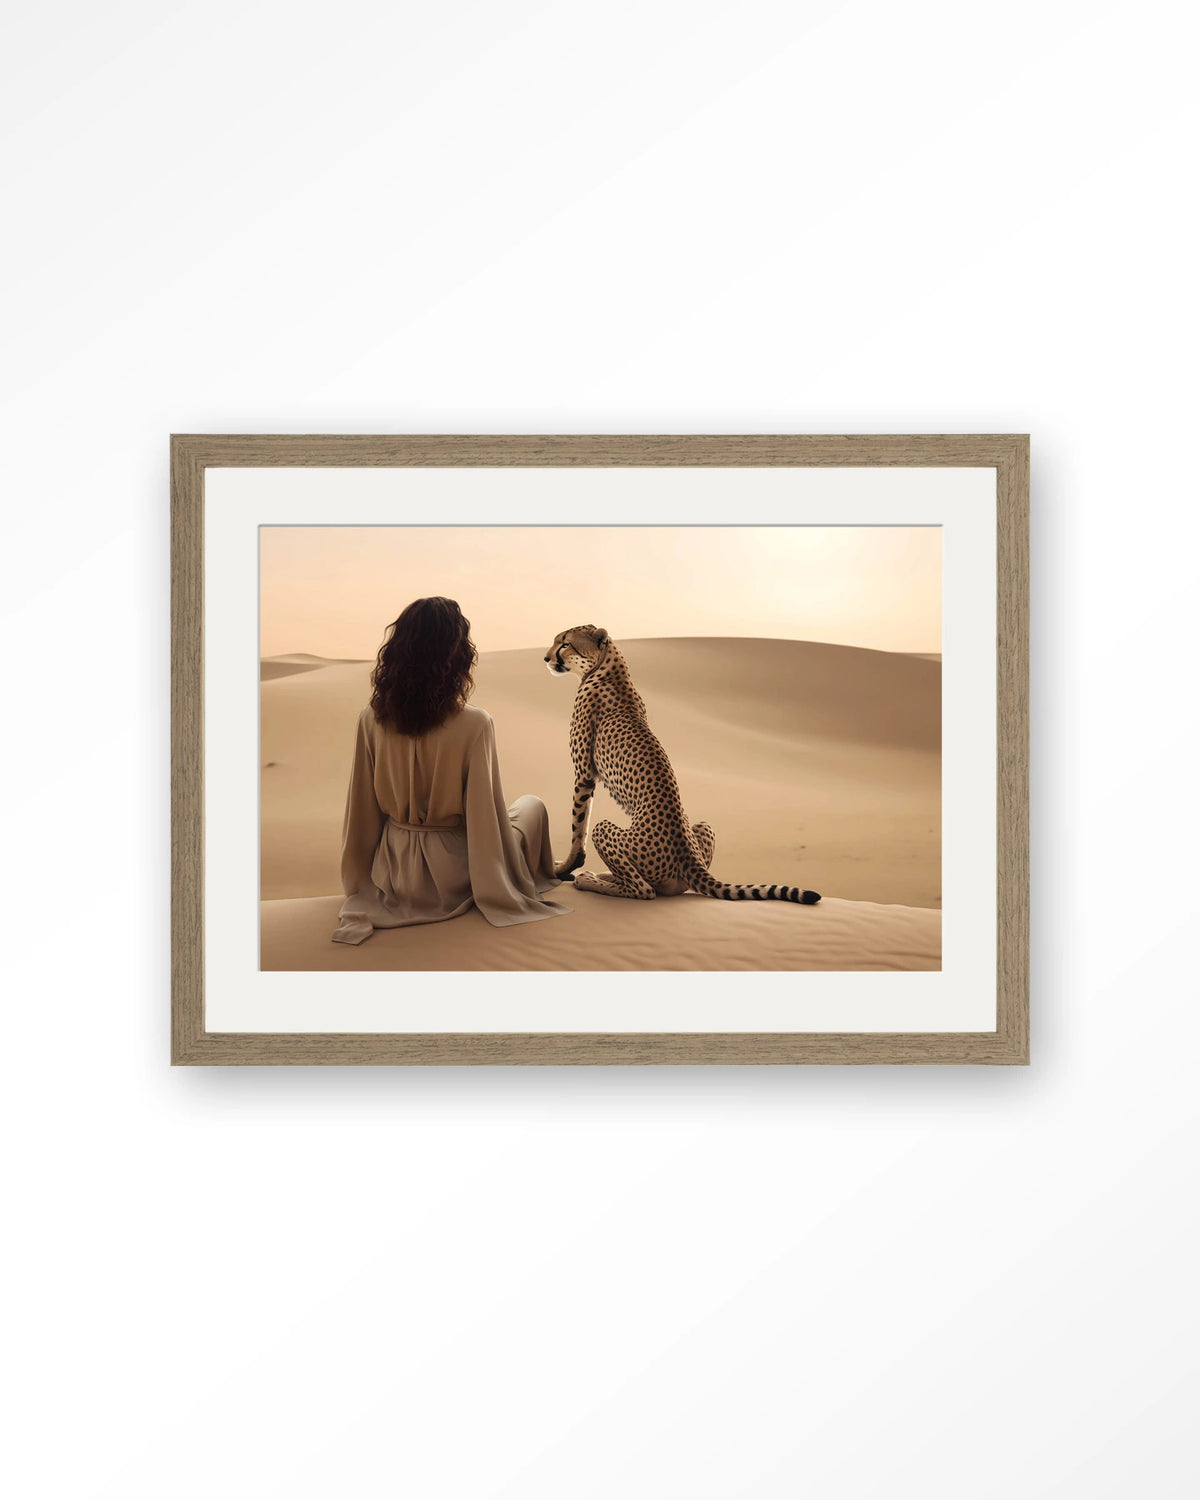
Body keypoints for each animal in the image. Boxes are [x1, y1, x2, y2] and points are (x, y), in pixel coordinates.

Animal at [543, 624, 821, 905]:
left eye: (565, 644)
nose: (546, 658)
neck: (608, 667)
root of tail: (688, 858)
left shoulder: (584, 773)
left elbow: (578, 828)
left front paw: (562, 868)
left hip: (611, 835)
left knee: (644, 890)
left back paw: (591, 880)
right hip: (703, 827)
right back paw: (607, 876)